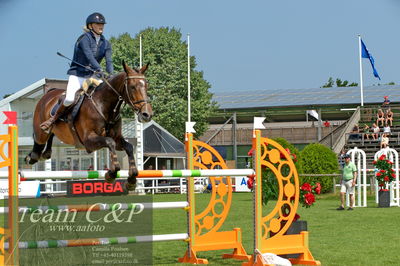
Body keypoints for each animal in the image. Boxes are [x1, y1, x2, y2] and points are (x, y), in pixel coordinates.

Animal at [25, 62, 153, 190]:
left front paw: (131, 179)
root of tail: (48, 94)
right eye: (132, 87)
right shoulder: (88, 141)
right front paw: (111, 174)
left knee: (50, 136)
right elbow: (109, 142)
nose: (147, 114)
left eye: (146, 86)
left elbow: (129, 146)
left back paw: (45, 153)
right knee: (39, 140)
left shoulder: (117, 139)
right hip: (41, 132)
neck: (104, 105)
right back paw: (33, 156)